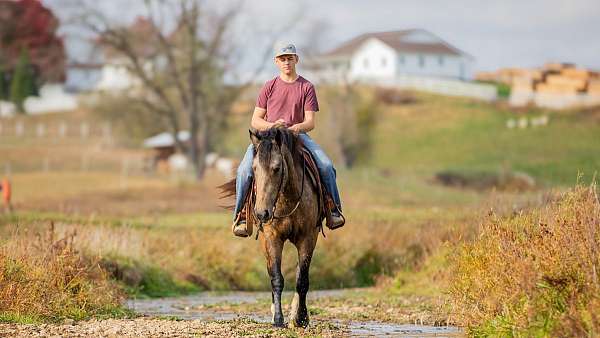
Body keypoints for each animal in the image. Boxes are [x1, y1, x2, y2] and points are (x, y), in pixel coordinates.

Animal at [220, 127, 324, 328]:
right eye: (254, 169)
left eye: (276, 168)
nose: (262, 213)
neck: (286, 200)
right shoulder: (271, 237)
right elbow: (276, 278)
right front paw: (278, 318)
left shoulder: (308, 237)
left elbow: (302, 280)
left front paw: (300, 318)